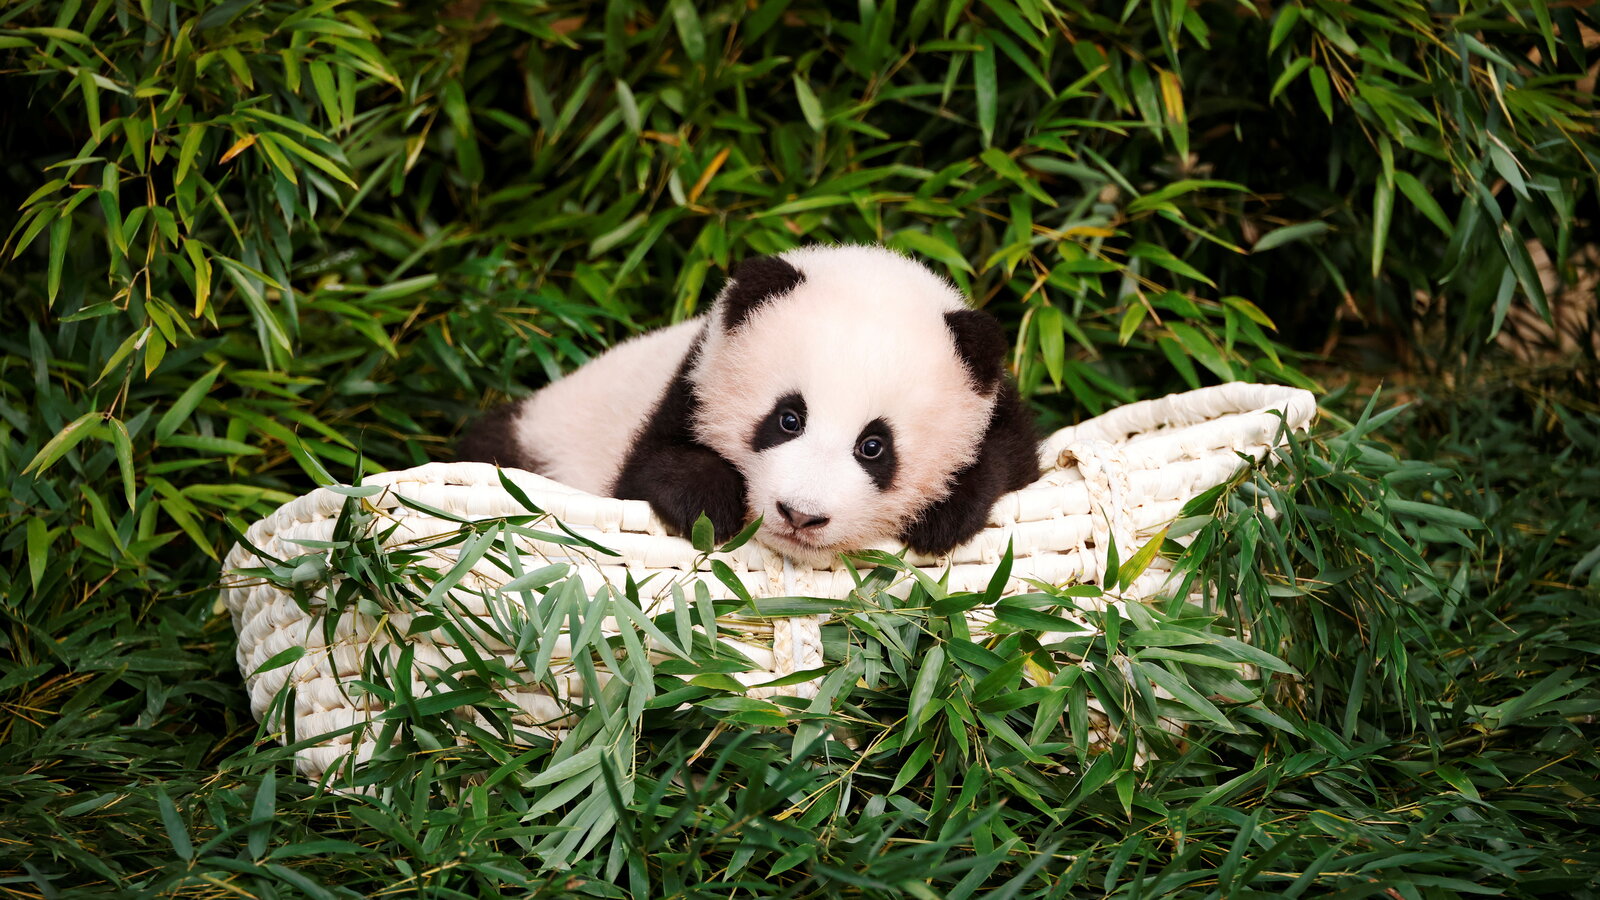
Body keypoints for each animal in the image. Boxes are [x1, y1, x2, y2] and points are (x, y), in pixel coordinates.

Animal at [458, 244, 1041, 566]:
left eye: (874, 446)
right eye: (788, 419)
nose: (801, 515)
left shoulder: (999, 410)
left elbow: (1005, 460)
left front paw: (943, 514)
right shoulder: (686, 384)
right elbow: (649, 470)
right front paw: (710, 504)